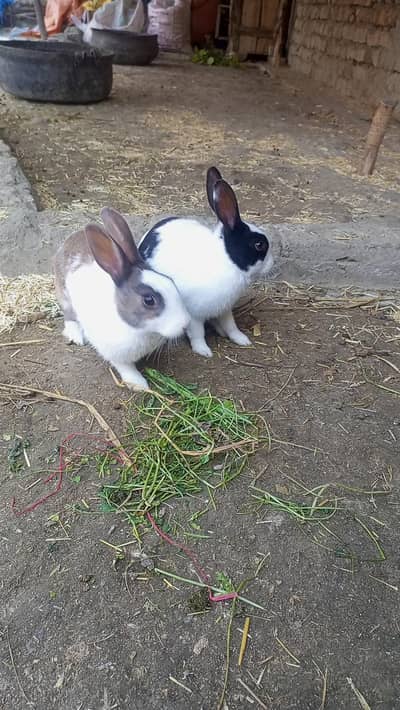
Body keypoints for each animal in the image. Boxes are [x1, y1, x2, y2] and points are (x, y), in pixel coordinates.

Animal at [54, 207, 190, 390]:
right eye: (149, 300)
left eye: (171, 281)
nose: (185, 324)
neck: (140, 330)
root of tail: (69, 240)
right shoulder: (115, 353)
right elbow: (125, 367)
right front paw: (139, 384)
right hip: (65, 297)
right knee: (69, 317)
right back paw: (76, 337)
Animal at [139, 167, 274, 358]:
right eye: (259, 245)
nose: (272, 263)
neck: (227, 260)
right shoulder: (194, 314)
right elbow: (197, 333)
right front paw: (203, 351)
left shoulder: (225, 309)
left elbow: (231, 326)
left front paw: (242, 340)